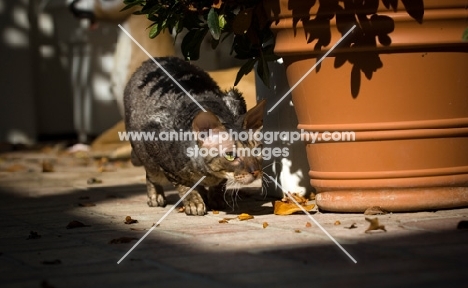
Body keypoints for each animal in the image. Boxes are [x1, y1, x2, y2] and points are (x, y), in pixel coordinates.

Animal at [124, 56, 266, 214]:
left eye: (257, 150)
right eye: (230, 155)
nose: (256, 171)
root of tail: (154, 60)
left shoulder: (234, 98)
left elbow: (219, 182)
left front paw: (216, 197)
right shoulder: (155, 139)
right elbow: (182, 183)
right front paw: (193, 202)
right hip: (147, 156)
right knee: (151, 174)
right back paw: (156, 196)